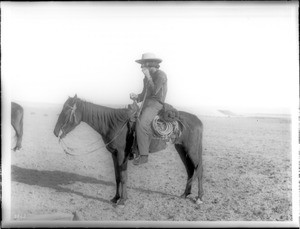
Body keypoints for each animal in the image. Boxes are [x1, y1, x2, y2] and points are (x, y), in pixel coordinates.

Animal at [54, 95, 204, 206]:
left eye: (66, 110)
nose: (56, 132)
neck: (113, 123)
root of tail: (198, 120)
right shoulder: (114, 154)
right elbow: (117, 177)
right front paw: (115, 198)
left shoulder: (122, 154)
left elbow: (123, 176)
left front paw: (123, 200)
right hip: (181, 148)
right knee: (190, 170)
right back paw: (185, 194)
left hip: (192, 150)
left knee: (199, 169)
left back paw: (199, 198)